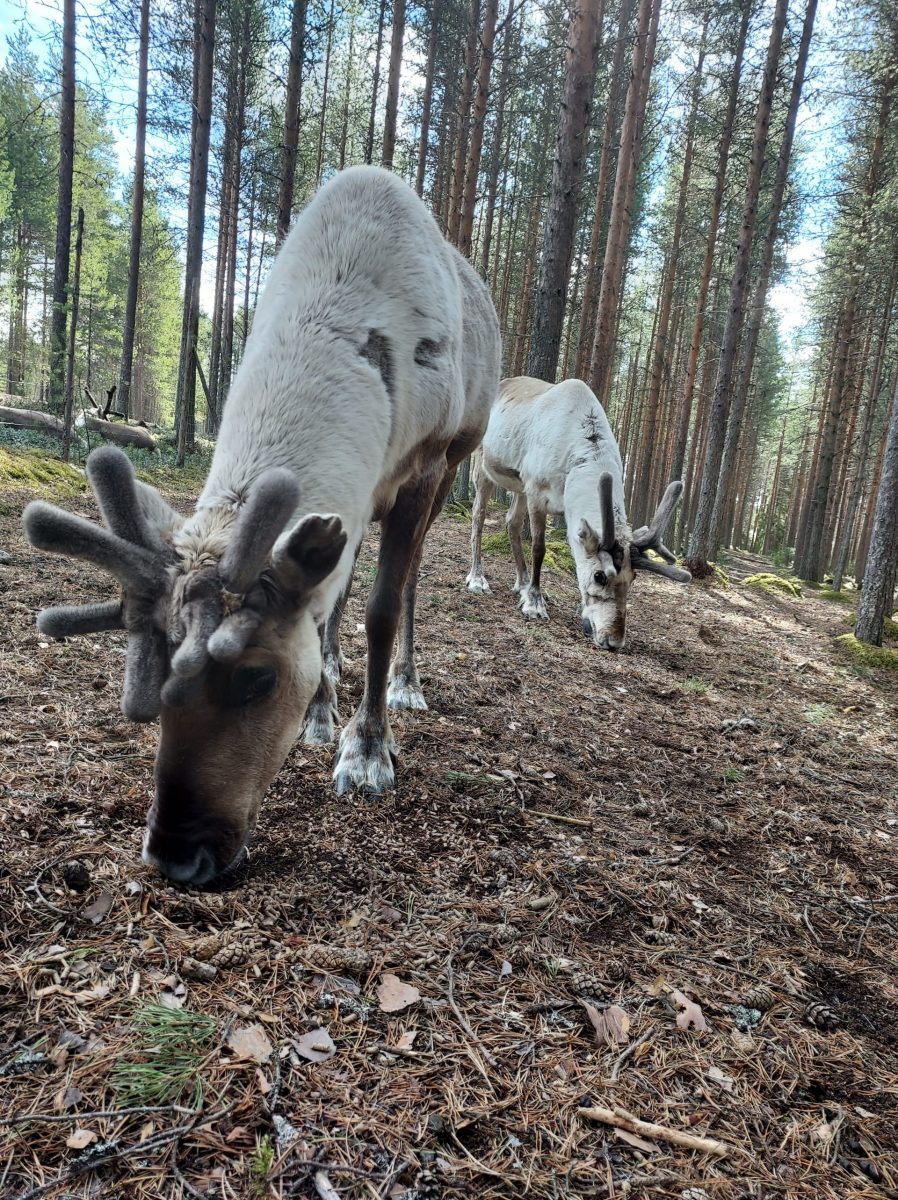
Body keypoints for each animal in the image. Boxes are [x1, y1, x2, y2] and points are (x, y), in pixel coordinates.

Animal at [23, 166, 501, 887]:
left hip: (454, 462)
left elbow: (383, 609)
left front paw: (368, 751)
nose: (176, 854)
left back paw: (405, 683)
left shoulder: (423, 463)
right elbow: (327, 602)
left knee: (410, 582)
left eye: (258, 680)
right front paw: (322, 709)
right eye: (150, 677)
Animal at [466, 376, 690, 649]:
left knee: (512, 522)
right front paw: (535, 603)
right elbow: (539, 548)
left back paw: (521, 583)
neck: (576, 464)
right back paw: (478, 579)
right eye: (599, 576)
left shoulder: (550, 499)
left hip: (519, 486)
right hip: (484, 464)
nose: (614, 641)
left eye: (634, 578)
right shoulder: (537, 491)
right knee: (478, 516)